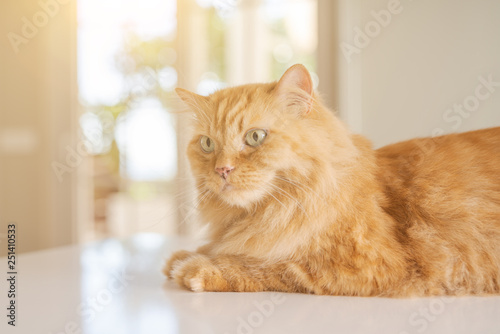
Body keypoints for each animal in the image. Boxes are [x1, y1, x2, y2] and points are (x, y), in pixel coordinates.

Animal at [165, 64, 500, 296]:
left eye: (255, 137)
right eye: (207, 144)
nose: (222, 169)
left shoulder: (369, 264)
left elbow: (264, 263)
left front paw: (196, 265)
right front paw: (190, 254)